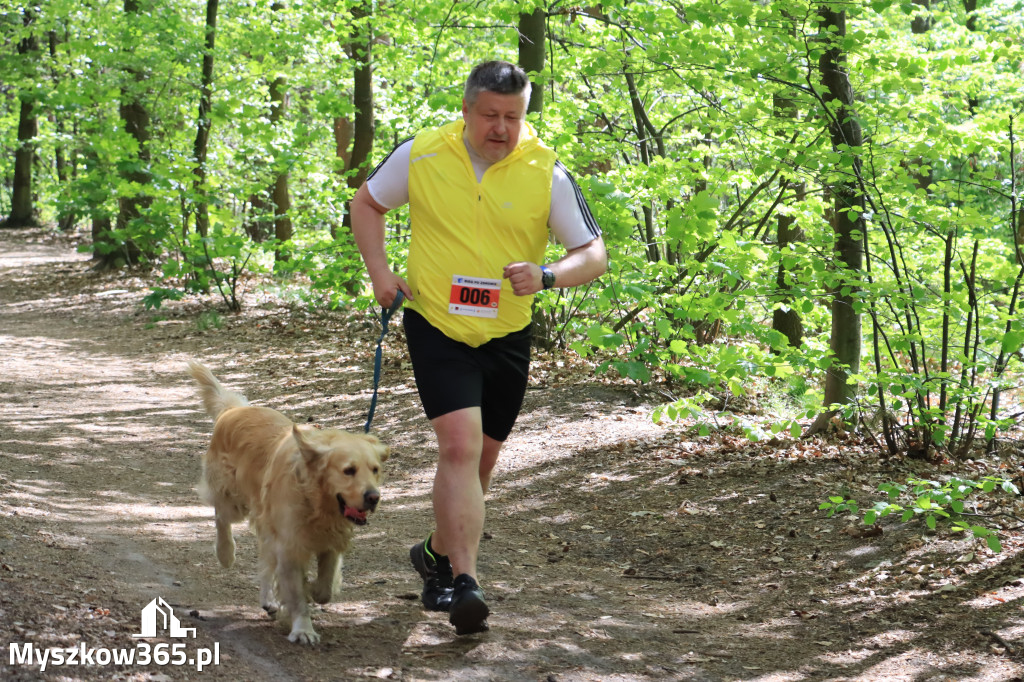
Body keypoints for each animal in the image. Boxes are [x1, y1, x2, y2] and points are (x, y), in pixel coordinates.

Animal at [186, 360, 389, 643]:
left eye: (375, 470)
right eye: (348, 470)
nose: (373, 497)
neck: (317, 502)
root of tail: (234, 410)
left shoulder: (330, 542)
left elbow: (325, 588)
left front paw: (312, 589)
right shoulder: (290, 544)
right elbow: (297, 593)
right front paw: (303, 629)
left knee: (265, 563)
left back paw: (269, 601)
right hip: (233, 499)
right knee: (221, 518)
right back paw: (225, 553)